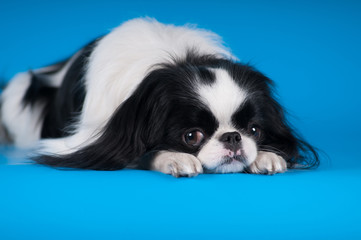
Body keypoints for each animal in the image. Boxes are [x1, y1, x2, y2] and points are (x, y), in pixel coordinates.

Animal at [0, 17, 318, 176]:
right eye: (191, 136)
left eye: (253, 130)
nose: (233, 137)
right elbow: (143, 152)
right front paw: (175, 159)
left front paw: (266, 155)